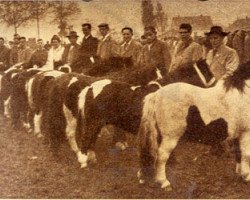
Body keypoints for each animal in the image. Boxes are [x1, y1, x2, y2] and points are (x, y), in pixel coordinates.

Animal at [138, 61, 250, 191]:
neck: (243, 94)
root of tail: (156, 95)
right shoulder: (247, 133)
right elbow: (247, 154)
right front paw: (247, 176)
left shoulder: (239, 134)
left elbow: (239, 154)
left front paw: (240, 173)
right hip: (170, 137)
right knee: (162, 156)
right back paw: (164, 182)